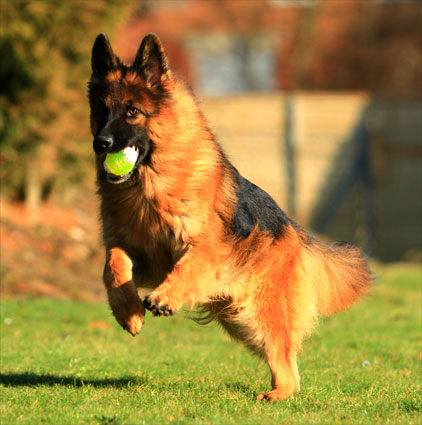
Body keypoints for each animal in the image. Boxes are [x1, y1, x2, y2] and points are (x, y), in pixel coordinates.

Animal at [88, 33, 371, 402]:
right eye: (102, 110)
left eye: (133, 111)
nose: (101, 143)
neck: (148, 190)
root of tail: (294, 230)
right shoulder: (129, 246)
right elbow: (113, 267)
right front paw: (128, 312)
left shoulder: (204, 249)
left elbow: (187, 267)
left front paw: (164, 297)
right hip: (240, 317)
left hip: (258, 312)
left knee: (285, 358)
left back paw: (279, 394)